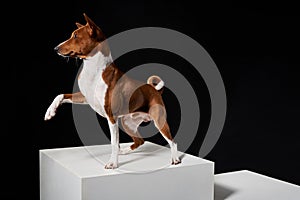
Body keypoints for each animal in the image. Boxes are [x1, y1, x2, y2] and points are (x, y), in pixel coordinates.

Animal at [44, 12, 180, 169]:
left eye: (76, 36)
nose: (55, 48)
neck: (94, 71)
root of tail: (154, 90)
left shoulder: (112, 117)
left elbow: (114, 143)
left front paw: (112, 163)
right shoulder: (84, 97)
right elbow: (60, 95)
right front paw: (50, 112)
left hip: (159, 121)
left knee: (173, 142)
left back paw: (175, 159)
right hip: (127, 122)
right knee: (140, 141)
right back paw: (125, 151)